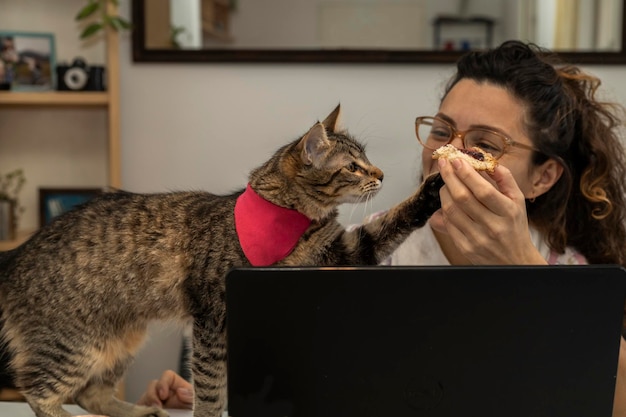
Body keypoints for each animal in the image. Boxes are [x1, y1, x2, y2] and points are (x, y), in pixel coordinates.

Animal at [0, 105, 444, 416]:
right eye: (353, 166)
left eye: (367, 159)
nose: (381, 174)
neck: (291, 219)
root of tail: (18, 253)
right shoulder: (213, 317)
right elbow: (210, 388)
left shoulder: (343, 253)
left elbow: (391, 222)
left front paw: (431, 190)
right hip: (75, 343)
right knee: (39, 393)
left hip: (121, 338)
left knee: (92, 394)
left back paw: (142, 412)